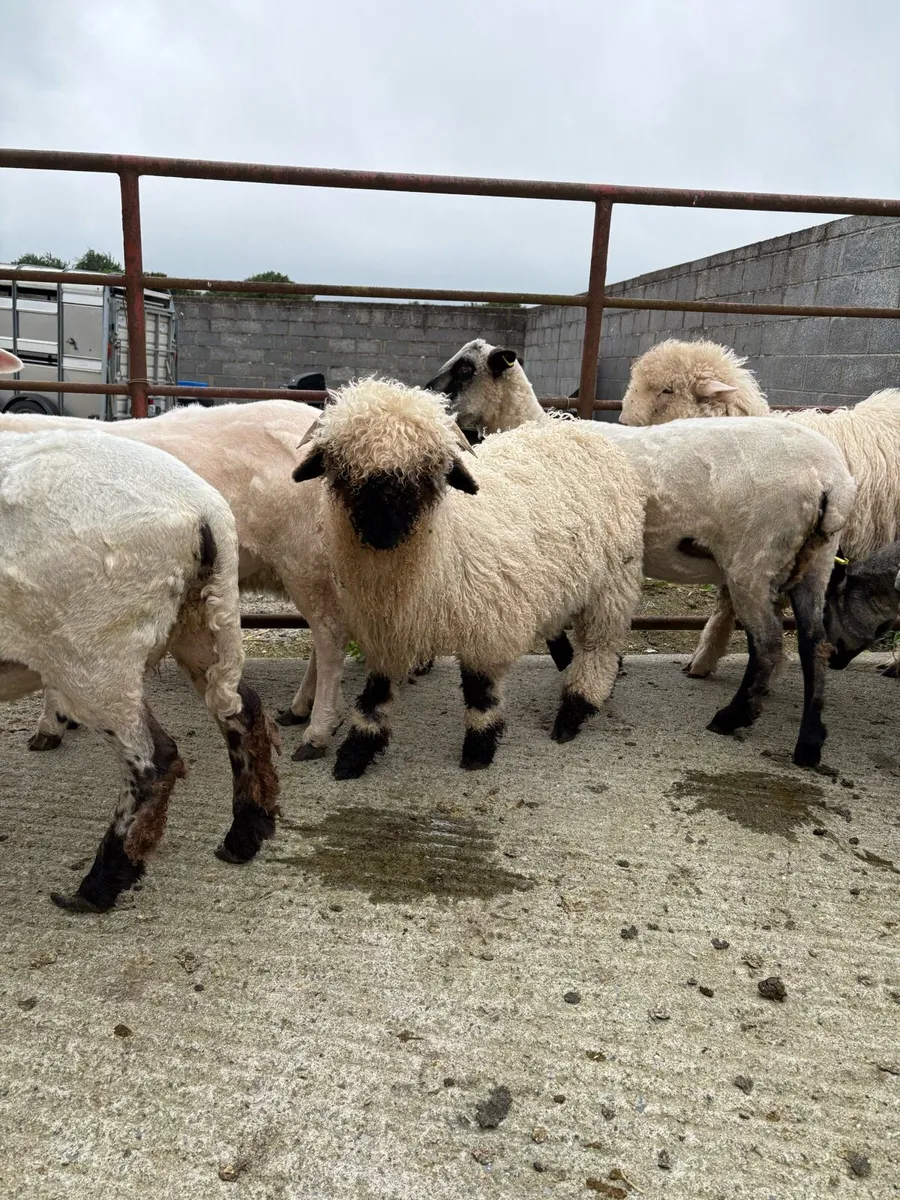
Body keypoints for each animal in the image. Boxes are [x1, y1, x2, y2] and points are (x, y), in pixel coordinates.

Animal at [0, 424, 280, 911]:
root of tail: (205, 507)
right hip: (196, 623)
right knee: (243, 712)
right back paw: (244, 837)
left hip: (95, 649)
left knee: (154, 760)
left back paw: (99, 885)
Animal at [291, 377, 646, 778]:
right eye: (343, 467)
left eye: (428, 470)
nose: (382, 529)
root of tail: (572, 426)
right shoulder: (387, 631)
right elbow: (375, 696)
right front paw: (354, 754)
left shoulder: (488, 626)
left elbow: (480, 692)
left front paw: (478, 749)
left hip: (612, 584)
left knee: (599, 647)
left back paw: (574, 710)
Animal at [426, 339, 858, 767]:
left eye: (465, 369)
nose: (430, 397)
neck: (536, 429)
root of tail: (831, 481)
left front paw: (584, 674)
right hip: (814, 561)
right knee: (814, 643)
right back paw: (809, 743)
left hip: (755, 560)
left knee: (768, 645)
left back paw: (731, 718)